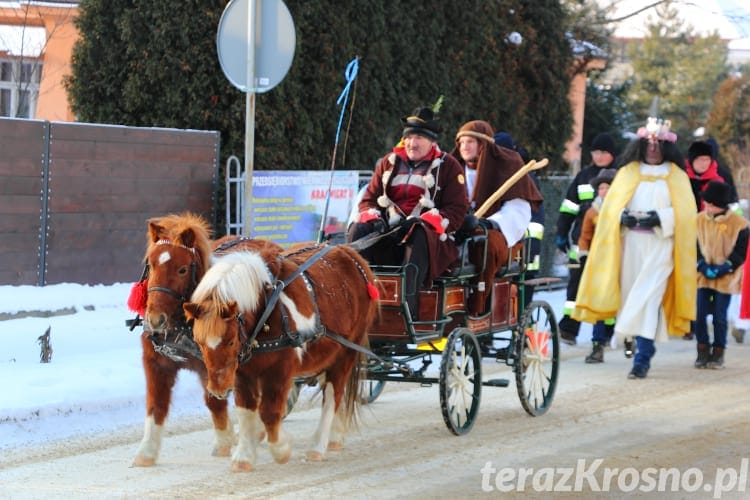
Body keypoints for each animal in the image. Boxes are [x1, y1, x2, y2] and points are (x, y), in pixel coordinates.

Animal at [132, 213, 282, 466]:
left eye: (182, 269)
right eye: (151, 265)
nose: (155, 320)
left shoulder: (215, 363)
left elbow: (214, 400)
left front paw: (224, 442)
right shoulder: (156, 362)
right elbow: (156, 404)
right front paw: (146, 452)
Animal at [185, 244, 378, 470]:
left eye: (231, 341)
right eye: (198, 341)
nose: (218, 391)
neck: (266, 308)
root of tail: (350, 253)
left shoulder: (279, 370)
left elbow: (269, 412)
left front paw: (280, 449)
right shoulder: (242, 372)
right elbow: (245, 411)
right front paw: (244, 457)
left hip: (346, 352)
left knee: (333, 396)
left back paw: (318, 446)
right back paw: (336, 437)